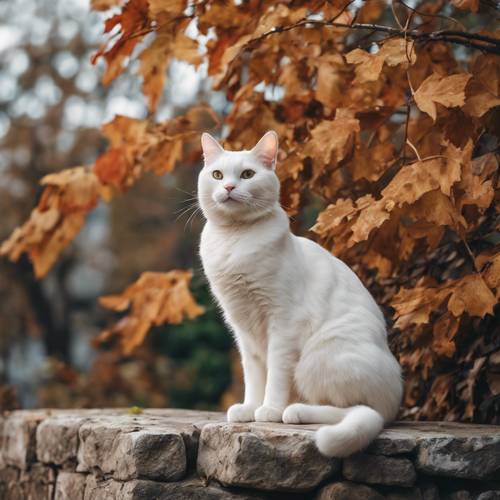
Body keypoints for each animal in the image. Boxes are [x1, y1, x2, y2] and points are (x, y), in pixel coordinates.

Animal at [196, 130, 402, 458]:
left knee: (356, 409)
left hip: (317, 358)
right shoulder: (244, 329)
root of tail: (394, 401)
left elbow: (276, 375)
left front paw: (268, 410)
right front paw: (250, 408)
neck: (234, 239)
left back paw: (293, 411)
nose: (228, 187)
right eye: (217, 175)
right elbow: (254, 375)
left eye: (247, 174)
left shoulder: (282, 323)